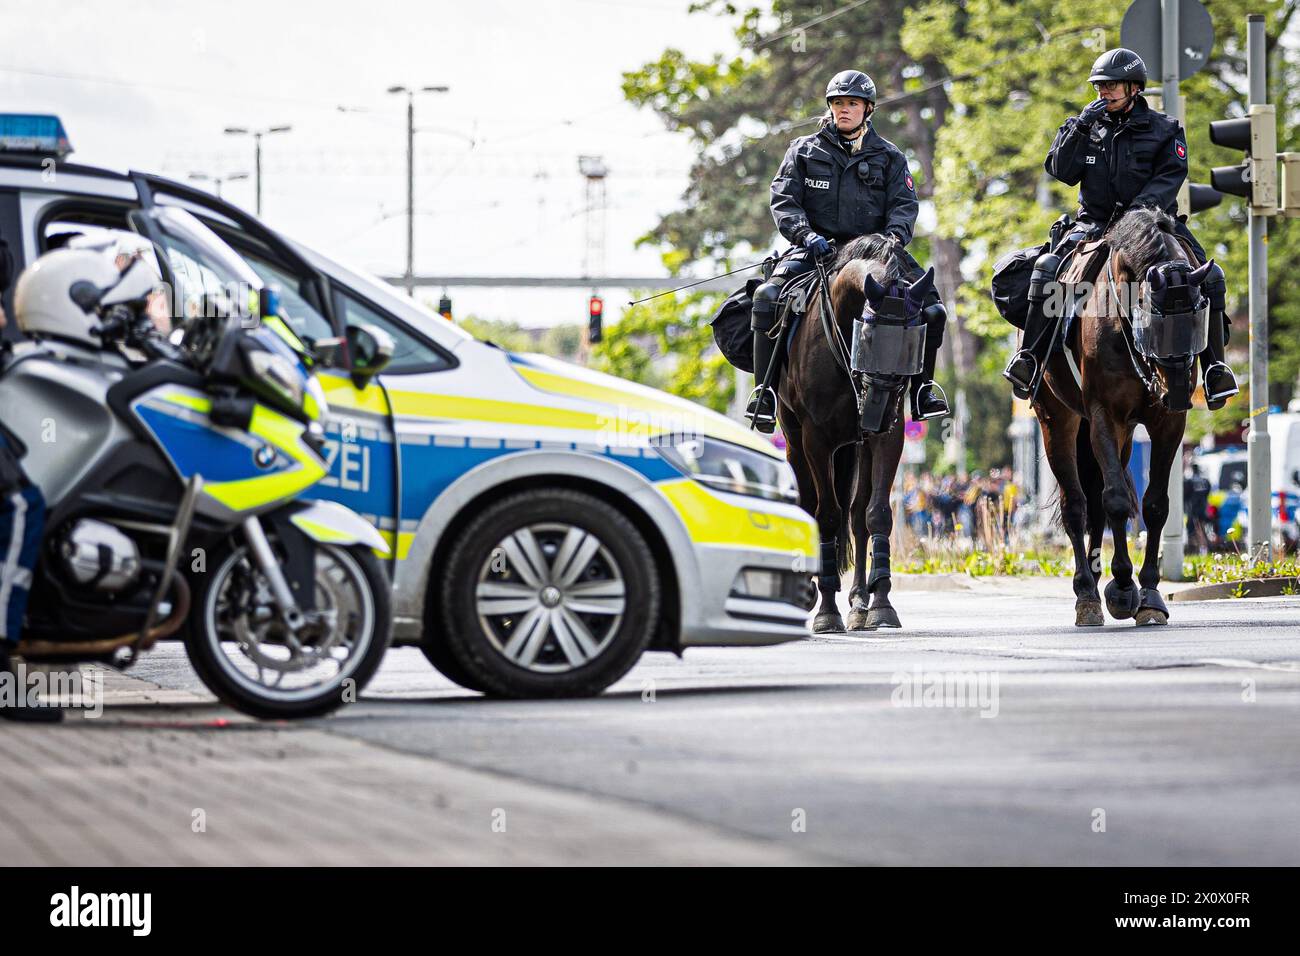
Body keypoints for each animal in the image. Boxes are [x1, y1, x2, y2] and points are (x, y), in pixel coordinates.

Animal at [780, 234, 935, 632]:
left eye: (916, 342)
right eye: (866, 335)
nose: (876, 410)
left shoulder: (887, 437)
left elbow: (875, 513)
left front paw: (880, 603)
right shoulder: (816, 441)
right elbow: (826, 517)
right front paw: (826, 611)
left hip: (858, 447)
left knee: (857, 513)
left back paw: (859, 602)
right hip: (795, 443)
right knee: (811, 505)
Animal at [1029, 208, 1211, 629]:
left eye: (1200, 317)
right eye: (1153, 318)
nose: (1178, 393)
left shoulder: (1166, 425)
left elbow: (1154, 504)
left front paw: (1150, 595)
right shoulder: (1102, 416)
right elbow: (1114, 500)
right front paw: (1124, 587)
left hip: (1124, 433)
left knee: (1096, 501)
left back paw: (1098, 580)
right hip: (1059, 421)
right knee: (1077, 504)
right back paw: (1086, 591)